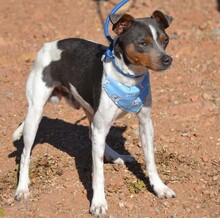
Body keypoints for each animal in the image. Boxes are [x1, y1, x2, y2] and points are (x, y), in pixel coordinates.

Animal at [13, 10, 175, 216]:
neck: (128, 80)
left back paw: (116, 156)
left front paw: (159, 187)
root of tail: (48, 45)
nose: (167, 59)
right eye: (142, 43)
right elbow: (98, 172)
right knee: (25, 154)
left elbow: (150, 160)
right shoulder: (103, 123)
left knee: (93, 135)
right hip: (35, 113)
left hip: (91, 112)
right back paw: (22, 188)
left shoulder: (145, 123)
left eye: (165, 40)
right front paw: (98, 202)